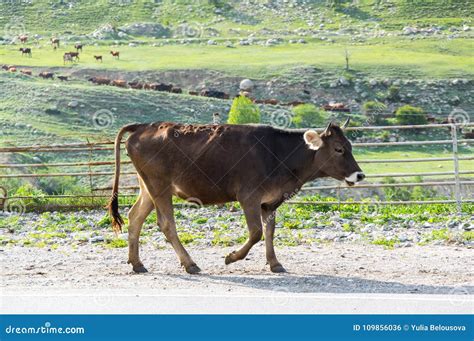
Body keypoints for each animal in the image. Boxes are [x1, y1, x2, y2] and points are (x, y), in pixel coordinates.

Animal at [108, 118, 366, 272]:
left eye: (350, 146)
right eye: (338, 149)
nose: (360, 175)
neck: (278, 153)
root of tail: (145, 125)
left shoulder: (270, 202)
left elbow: (269, 232)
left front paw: (274, 263)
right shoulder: (248, 196)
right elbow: (256, 233)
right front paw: (231, 257)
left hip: (148, 186)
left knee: (135, 217)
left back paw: (137, 263)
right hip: (159, 185)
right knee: (166, 223)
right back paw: (190, 264)